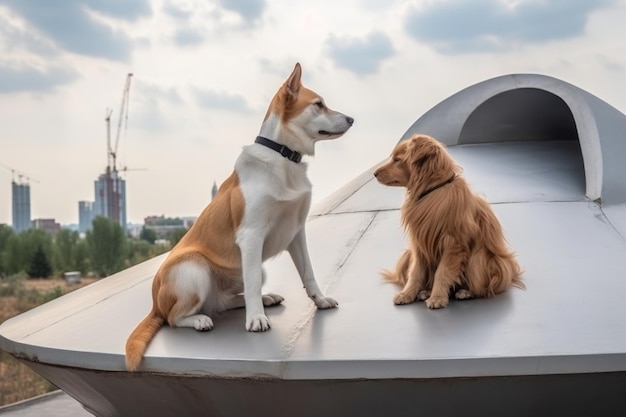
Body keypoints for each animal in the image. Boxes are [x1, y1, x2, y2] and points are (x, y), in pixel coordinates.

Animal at [124, 62, 354, 370]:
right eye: (318, 104)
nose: (351, 119)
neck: (284, 156)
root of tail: (153, 304)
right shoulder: (252, 236)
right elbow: (254, 282)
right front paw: (256, 320)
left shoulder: (296, 232)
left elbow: (308, 272)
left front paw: (320, 300)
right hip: (194, 269)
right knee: (175, 317)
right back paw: (201, 319)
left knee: (225, 301)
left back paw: (264, 299)